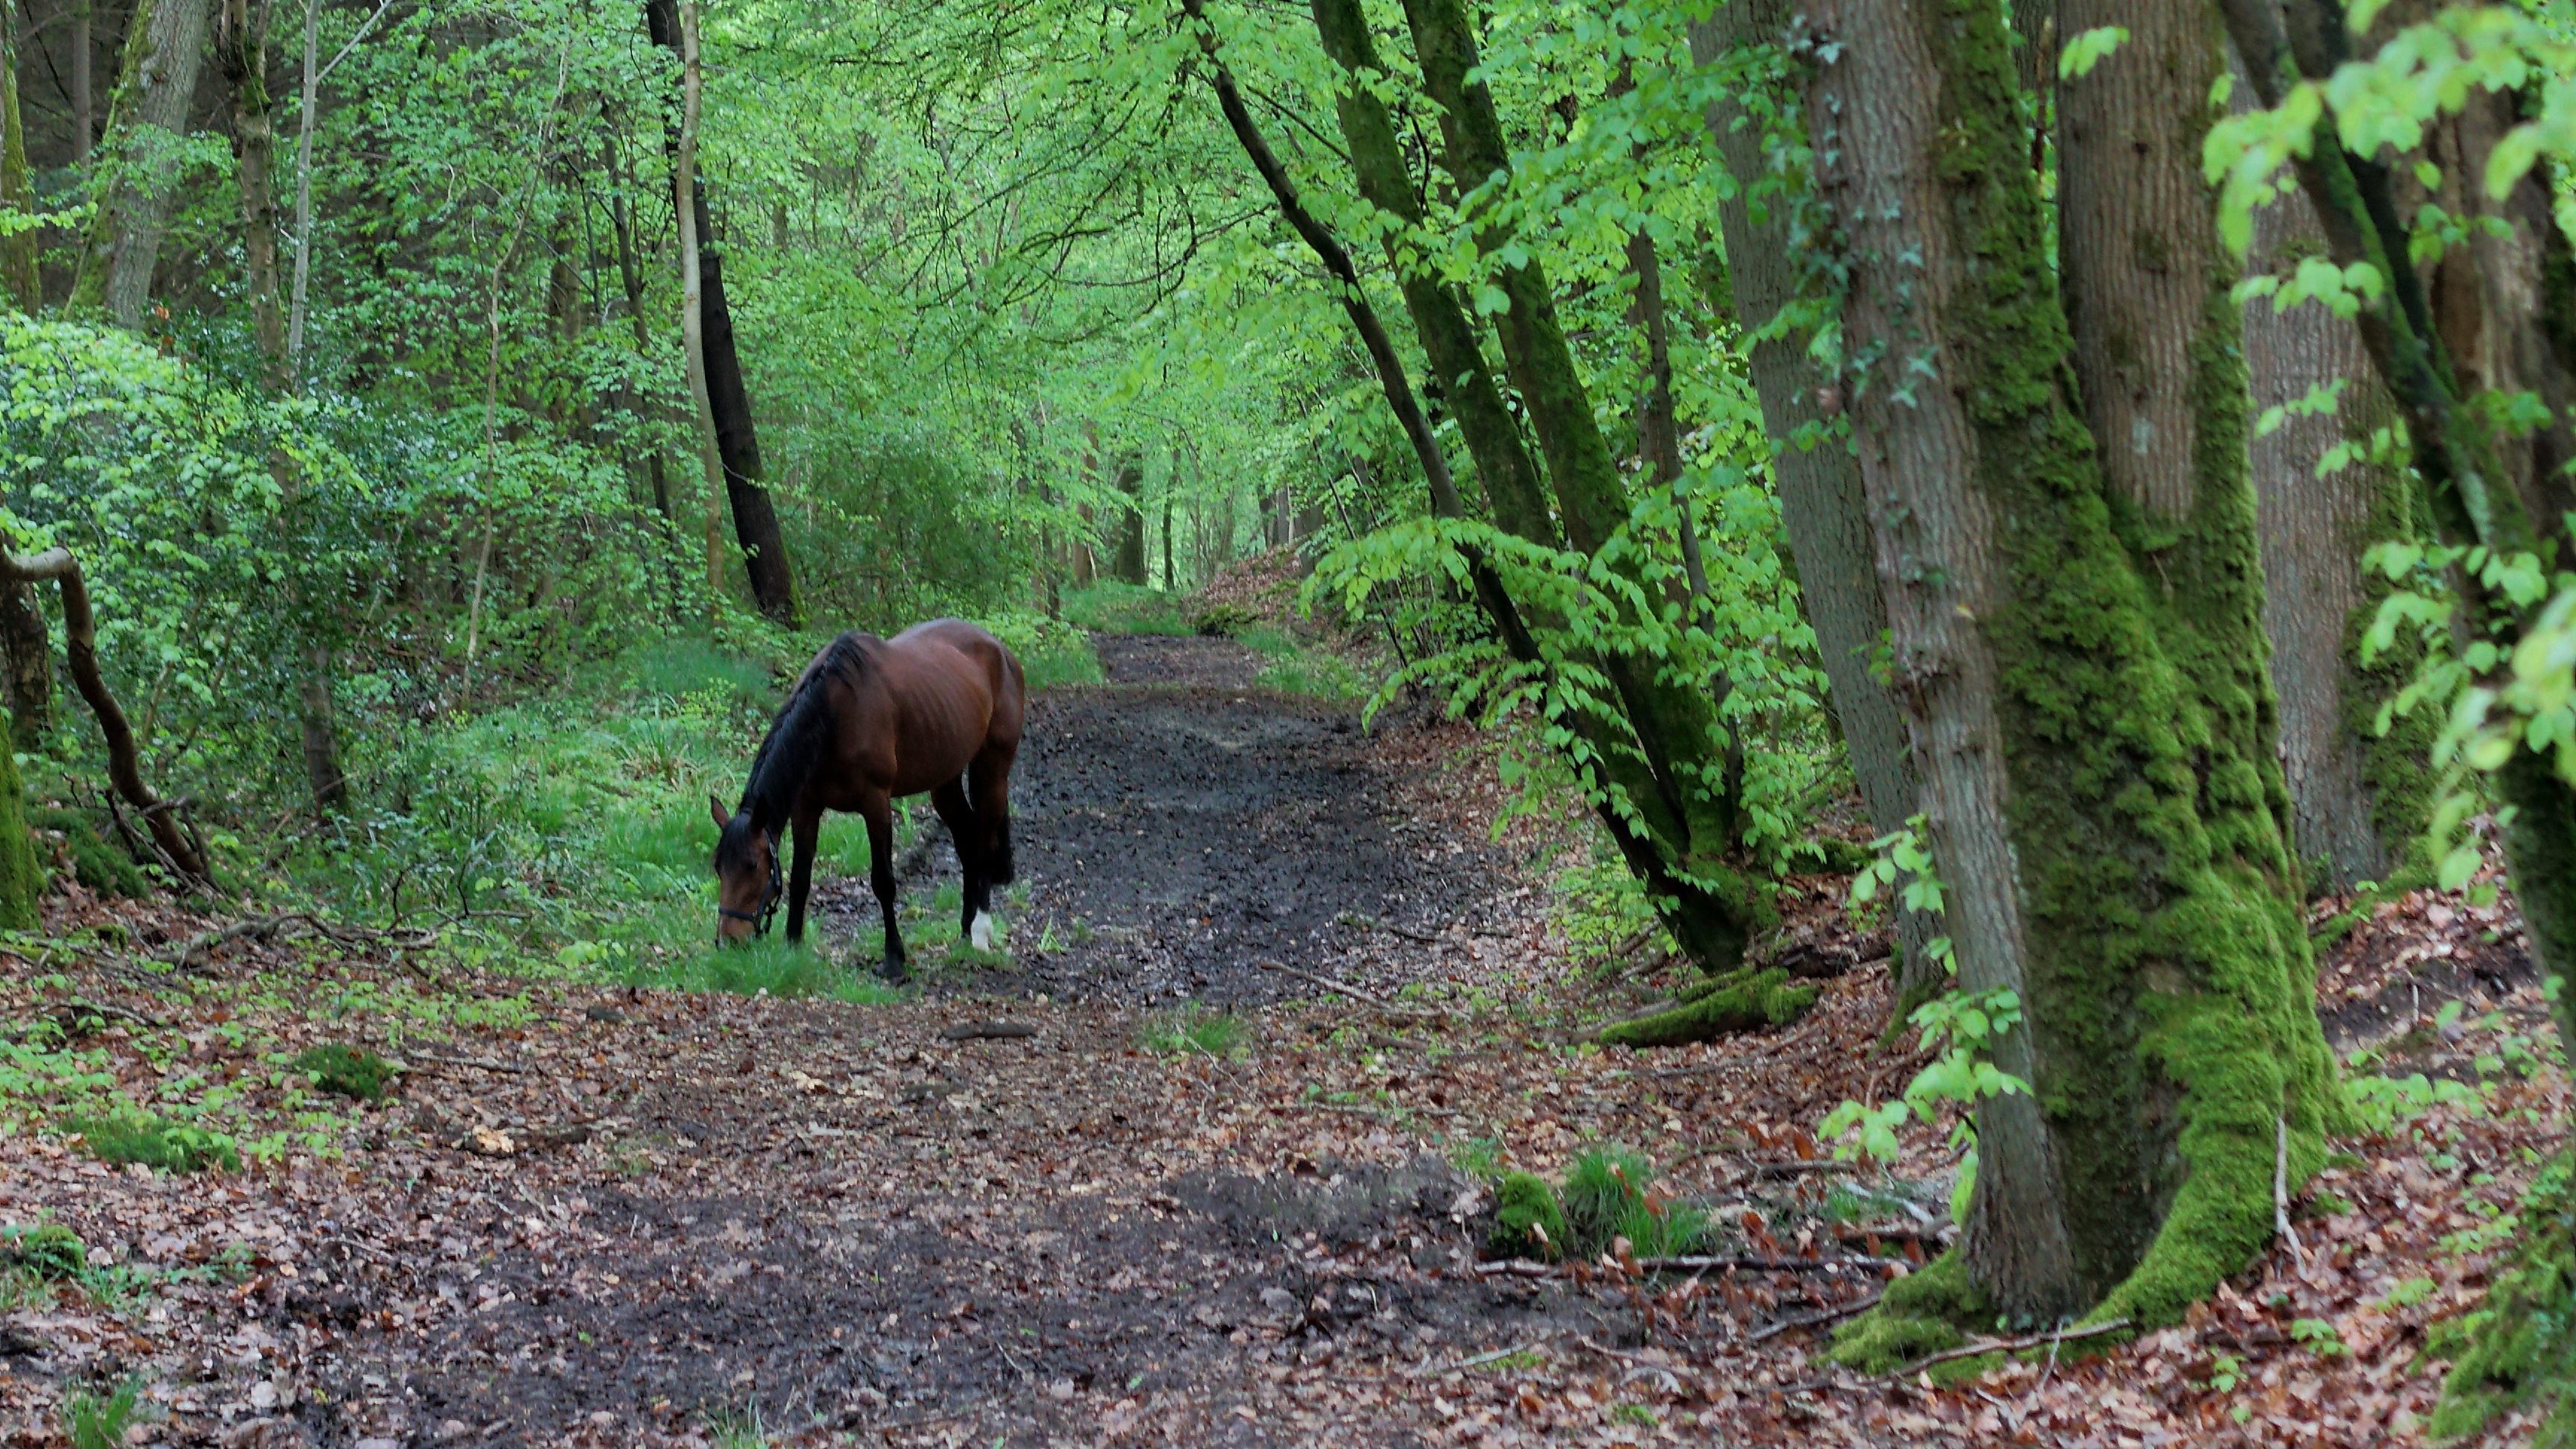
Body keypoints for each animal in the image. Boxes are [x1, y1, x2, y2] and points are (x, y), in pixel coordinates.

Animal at [709, 620, 1024, 979]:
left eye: (752, 865)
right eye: (718, 866)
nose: (728, 941)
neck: (835, 712)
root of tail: (1000, 650)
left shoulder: (875, 805)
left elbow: (883, 881)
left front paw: (894, 958)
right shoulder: (806, 807)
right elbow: (800, 878)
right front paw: (792, 945)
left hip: (993, 768)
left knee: (984, 843)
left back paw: (981, 931)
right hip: (945, 778)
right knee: (967, 841)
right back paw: (964, 930)